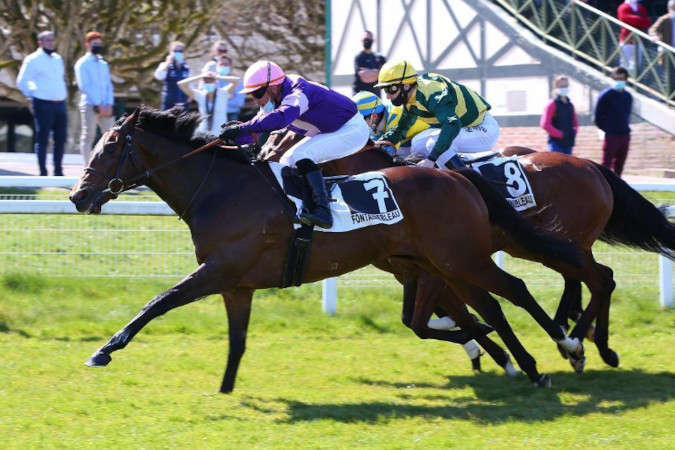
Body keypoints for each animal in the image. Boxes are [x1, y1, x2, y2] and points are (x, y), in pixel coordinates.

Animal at [69, 106, 585, 392]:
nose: (78, 196)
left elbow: (158, 302)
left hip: (462, 257)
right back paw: (520, 357)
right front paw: (228, 387)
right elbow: (236, 340)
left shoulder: (219, 270)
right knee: (480, 307)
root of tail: (455, 175)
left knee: (515, 289)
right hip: (440, 262)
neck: (221, 189)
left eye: (110, 147)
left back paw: (563, 348)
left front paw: (104, 350)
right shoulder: (237, 284)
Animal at [261, 131, 675, 371]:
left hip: (558, 243)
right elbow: (442, 314)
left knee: (599, 279)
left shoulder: (439, 265)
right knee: (586, 280)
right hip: (546, 245)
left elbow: (458, 310)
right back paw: (579, 335)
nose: (267, 164)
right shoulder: (420, 267)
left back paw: (587, 343)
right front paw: (485, 349)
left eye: (276, 143)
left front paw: (494, 351)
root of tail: (589, 165)